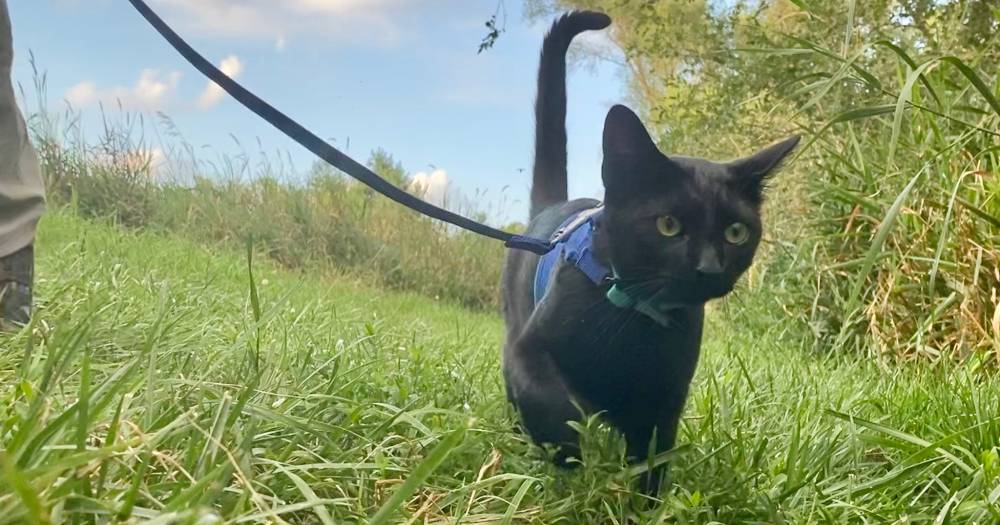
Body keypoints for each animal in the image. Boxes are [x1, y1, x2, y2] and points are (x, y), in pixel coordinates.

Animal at [504, 10, 800, 490]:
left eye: (736, 232)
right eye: (668, 225)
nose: (709, 267)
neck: (633, 320)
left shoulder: (665, 399)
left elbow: (652, 465)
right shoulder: (528, 349)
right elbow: (547, 398)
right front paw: (568, 453)